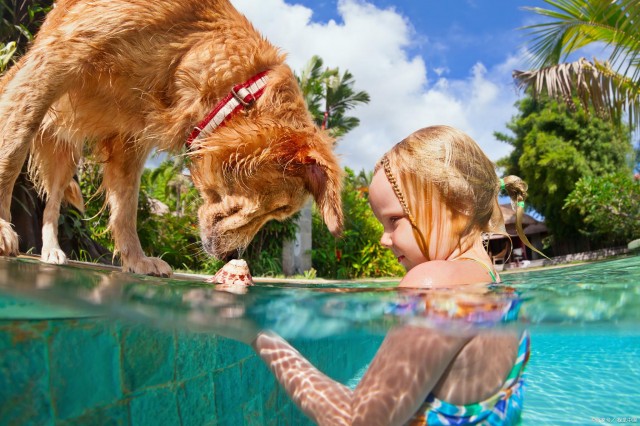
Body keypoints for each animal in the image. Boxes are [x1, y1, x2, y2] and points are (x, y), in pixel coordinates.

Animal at [0, 0, 344, 276]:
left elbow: (125, 207)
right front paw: (2, 228)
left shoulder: (129, 139)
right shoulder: (53, 63)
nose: (232, 256)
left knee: (52, 203)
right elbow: (11, 154)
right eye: (280, 209)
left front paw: (137, 261)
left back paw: (51, 251)